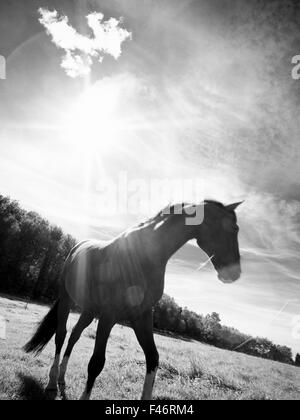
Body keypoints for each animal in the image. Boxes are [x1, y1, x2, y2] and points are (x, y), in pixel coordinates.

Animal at [24, 200, 243, 400]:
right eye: (234, 228)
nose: (235, 273)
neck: (143, 256)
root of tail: (76, 248)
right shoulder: (109, 316)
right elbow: (96, 363)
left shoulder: (142, 316)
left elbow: (153, 358)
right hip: (67, 300)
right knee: (61, 336)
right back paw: (52, 383)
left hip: (89, 310)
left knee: (74, 336)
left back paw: (61, 378)